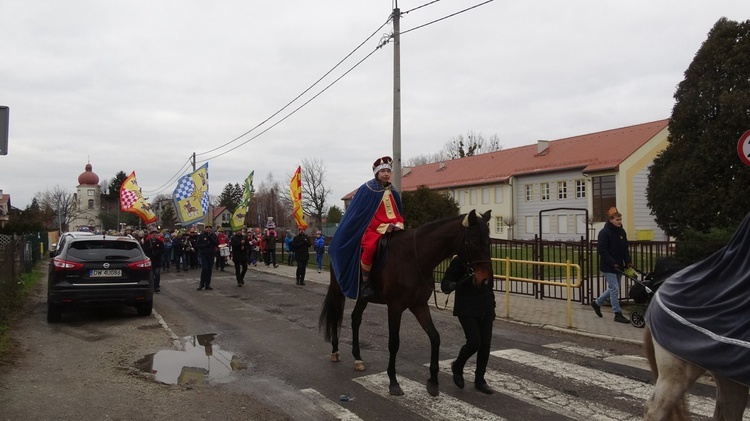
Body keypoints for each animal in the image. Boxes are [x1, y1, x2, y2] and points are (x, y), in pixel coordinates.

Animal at [318, 210, 494, 398]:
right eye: (474, 242)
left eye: (488, 242)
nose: (484, 280)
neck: (415, 258)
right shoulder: (395, 308)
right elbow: (394, 343)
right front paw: (393, 382)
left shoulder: (419, 305)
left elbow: (435, 337)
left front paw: (433, 381)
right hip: (338, 289)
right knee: (336, 316)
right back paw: (335, 351)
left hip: (362, 297)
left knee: (355, 319)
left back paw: (358, 358)